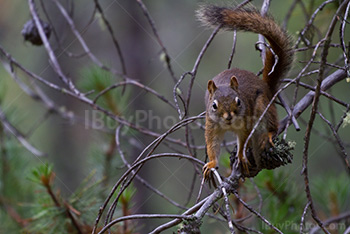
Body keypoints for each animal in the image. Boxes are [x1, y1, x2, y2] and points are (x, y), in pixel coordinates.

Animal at [198, 5, 294, 179]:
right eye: (214, 105)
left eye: (238, 101)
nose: (229, 116)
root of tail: (266, 86)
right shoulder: (212, 125)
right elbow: (212, 144)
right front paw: (212, 164)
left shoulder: (245, 122)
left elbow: (243, 139)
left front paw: (241, 156)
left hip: (263, 105)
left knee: (271, 124)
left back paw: (268, 135)